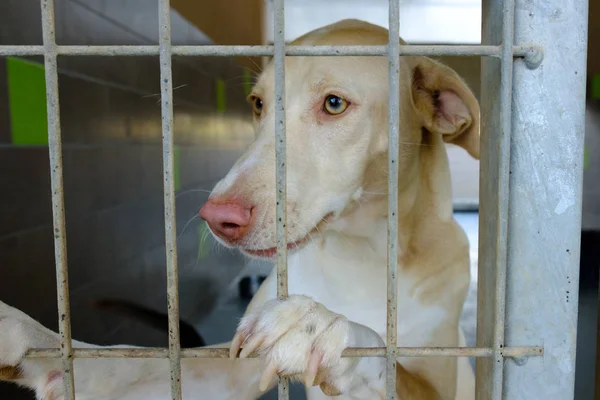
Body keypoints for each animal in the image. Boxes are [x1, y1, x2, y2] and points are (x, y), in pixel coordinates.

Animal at [0, 19, 478, 400]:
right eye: (258, 104)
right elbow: (121, 360)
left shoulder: (436, 379)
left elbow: (380, 354)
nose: (216, 219)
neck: (361, 253)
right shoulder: (224, 369)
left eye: (334, 103)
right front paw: (24, 332)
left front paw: (321, 326)